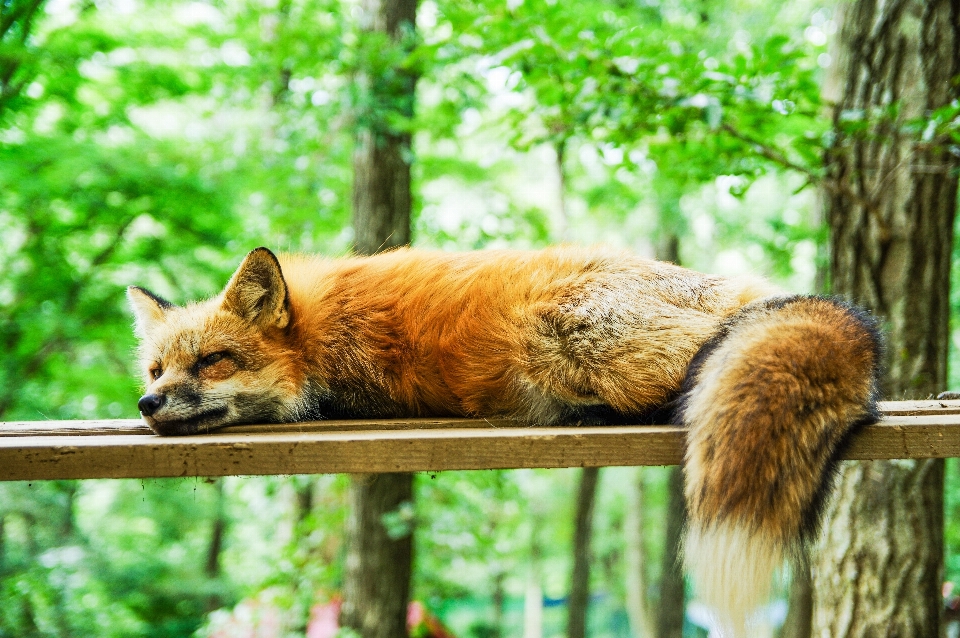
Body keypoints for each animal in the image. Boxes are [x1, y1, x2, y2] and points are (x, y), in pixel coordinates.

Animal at [129, 246, 884, 638]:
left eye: (214, 361)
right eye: (156, 368)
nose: (147, 404)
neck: (318, 333)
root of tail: (742, 289)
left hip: (563, 333)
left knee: (691, 379)